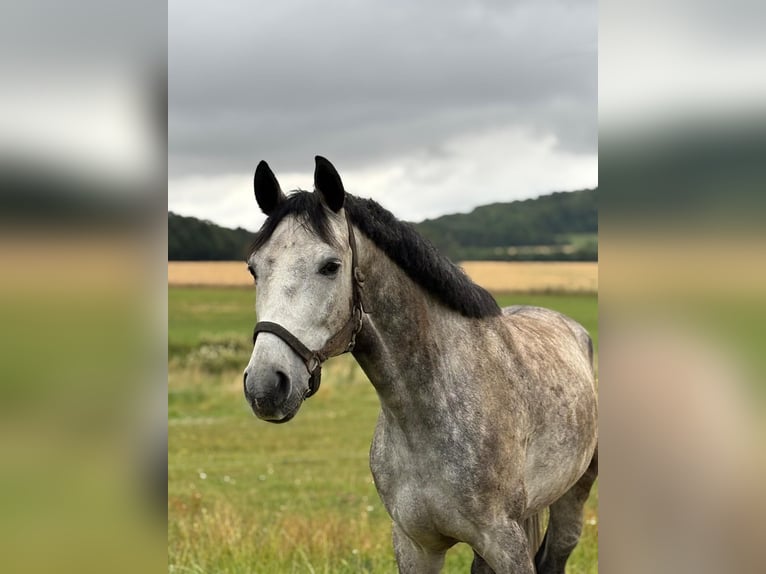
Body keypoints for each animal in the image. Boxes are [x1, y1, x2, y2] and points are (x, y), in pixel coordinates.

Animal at [242, 156, 598, 573]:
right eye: (254, 269)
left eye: (330, 266)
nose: (266, 385)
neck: (427, 412)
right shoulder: (415, 545)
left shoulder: (506, 543)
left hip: (573, 497)